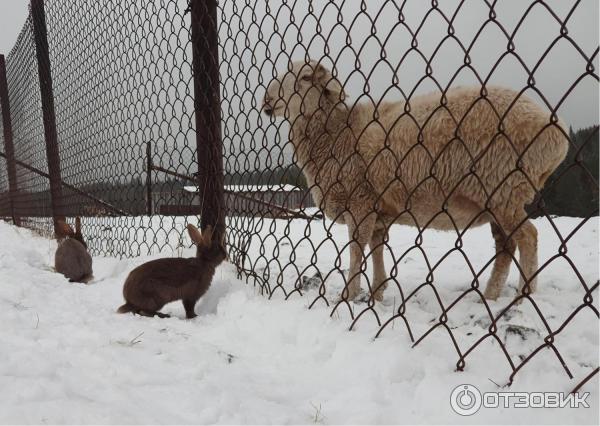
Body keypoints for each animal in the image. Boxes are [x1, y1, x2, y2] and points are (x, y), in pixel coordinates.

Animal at [262, 59, 568, 302]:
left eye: (304, 78)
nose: (266, 100)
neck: (337, 133)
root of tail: (557, 131)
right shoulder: (378, 209)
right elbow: (376, 247)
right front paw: (377, 291)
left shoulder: (360, 200)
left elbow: (356, 249)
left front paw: (349, 295)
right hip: (500, 196)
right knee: (505, 245)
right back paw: (490, 296)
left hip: (504, 187)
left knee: (529, 236)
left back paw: (522, 297)